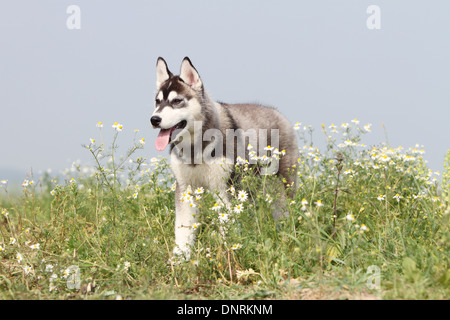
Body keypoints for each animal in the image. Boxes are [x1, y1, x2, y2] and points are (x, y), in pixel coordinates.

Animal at [151, 56, 298, 258]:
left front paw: (227, 252)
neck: (195, 147)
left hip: (280, 185)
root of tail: (276, 113)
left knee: (284, 211)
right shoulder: (186, 188)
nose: (154, 119)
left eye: (177, 101)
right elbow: (182, 229)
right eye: (157, 102)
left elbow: (227, 225)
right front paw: (180, 259)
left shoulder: (224, 188)